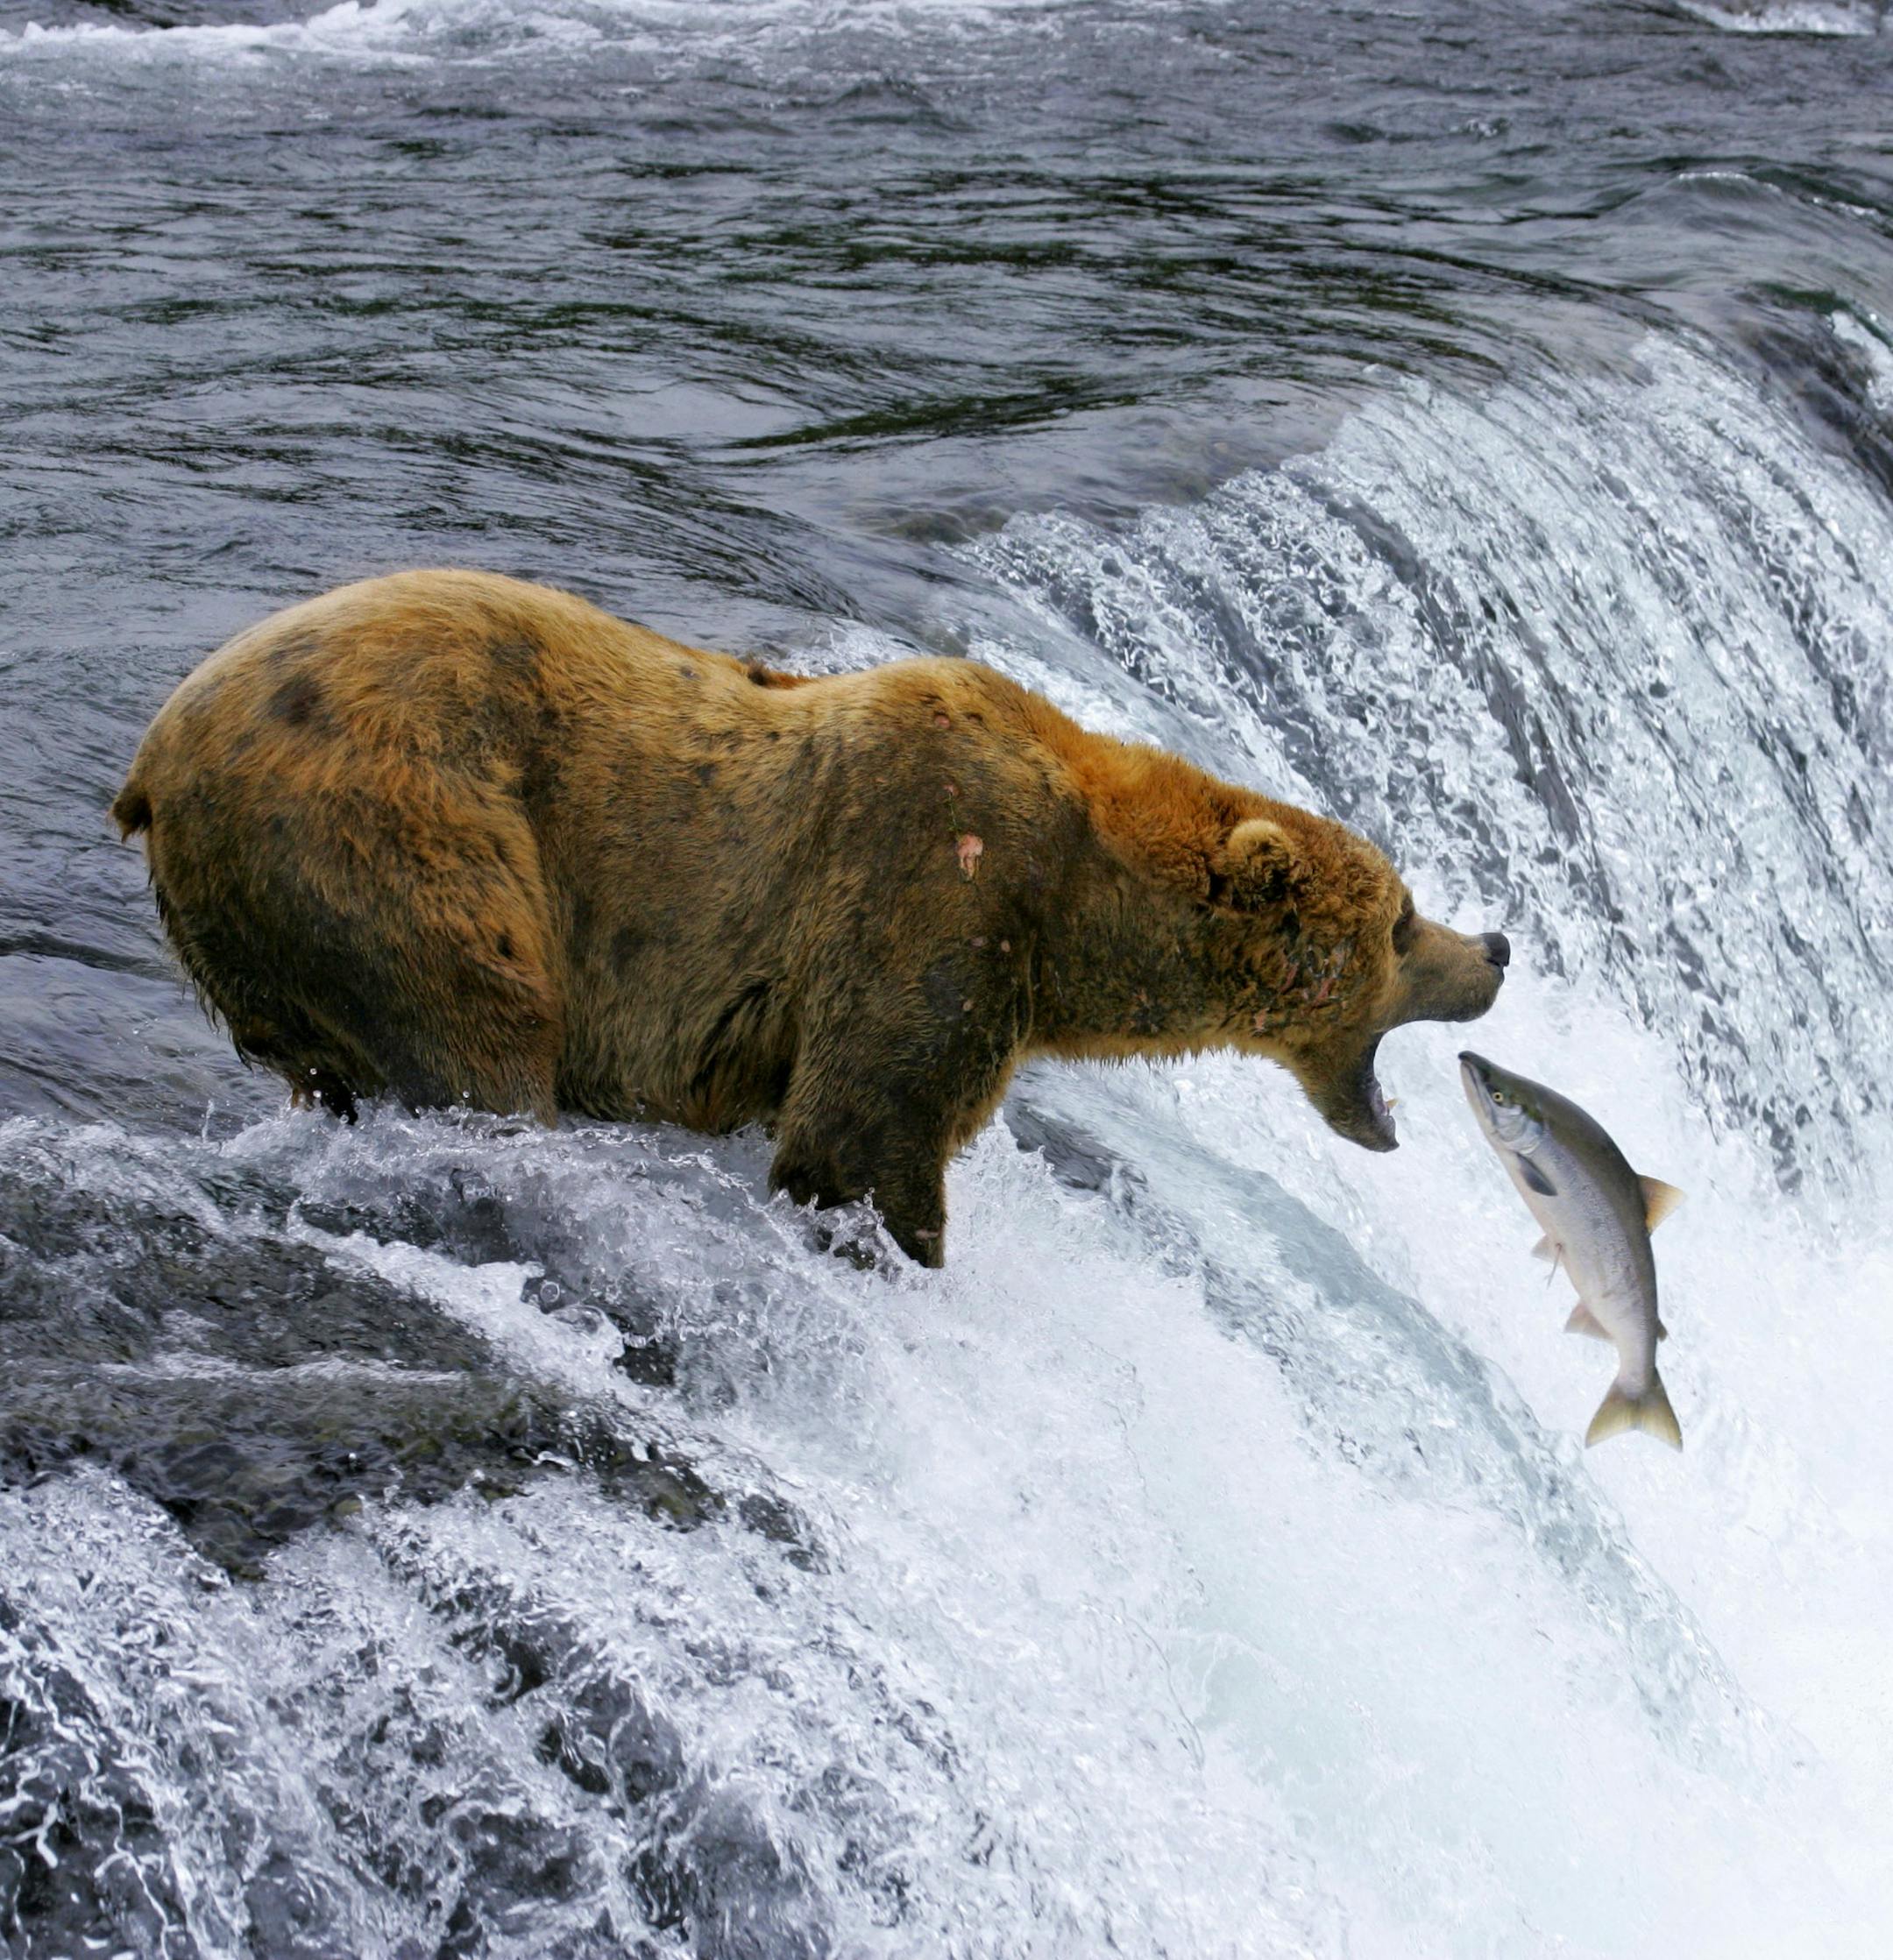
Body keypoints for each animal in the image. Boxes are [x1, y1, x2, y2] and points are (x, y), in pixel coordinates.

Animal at [113, 569, 1509, 1265]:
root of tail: (153, 763)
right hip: (394, 831)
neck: (1081, 913)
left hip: (260, 931)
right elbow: (863, 1132)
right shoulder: (934, 888)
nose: (1494, 948)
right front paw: (898, 1242)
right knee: (479, 1033)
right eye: (1401, 922)